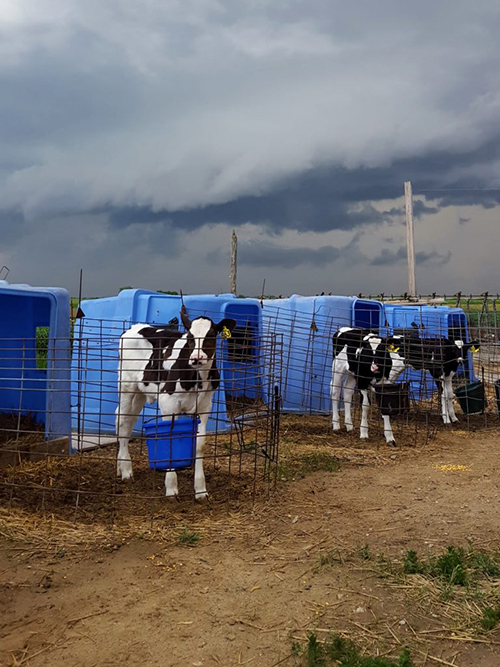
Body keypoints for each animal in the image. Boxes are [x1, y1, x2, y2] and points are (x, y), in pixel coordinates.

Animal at [115, 308, 236, 500]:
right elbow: (169, 440)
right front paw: (171, 488)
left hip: (140, 391)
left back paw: (121, 467)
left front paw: (200, 490)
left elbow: (199, 445)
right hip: (126, 386)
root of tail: (134, 327)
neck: (197, 379)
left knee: (129, 422)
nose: (196, 358)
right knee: (122, 422)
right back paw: (126, 470)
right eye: (190, 337)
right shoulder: (168, 404)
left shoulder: (204, 407)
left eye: (210, 335)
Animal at [330, 326, 478, 446]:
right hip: (338, 368)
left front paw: (453, 417)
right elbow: (365, 405)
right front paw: (446, 419)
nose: (460, 360)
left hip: (352, 373)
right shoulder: (438, 373)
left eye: (463, 350)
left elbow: (449, 394)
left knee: (347, 392)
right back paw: (336, 425)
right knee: (335, 392)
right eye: (453, 349)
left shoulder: (448, 374)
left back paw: (349, 425)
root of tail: (343, 330)